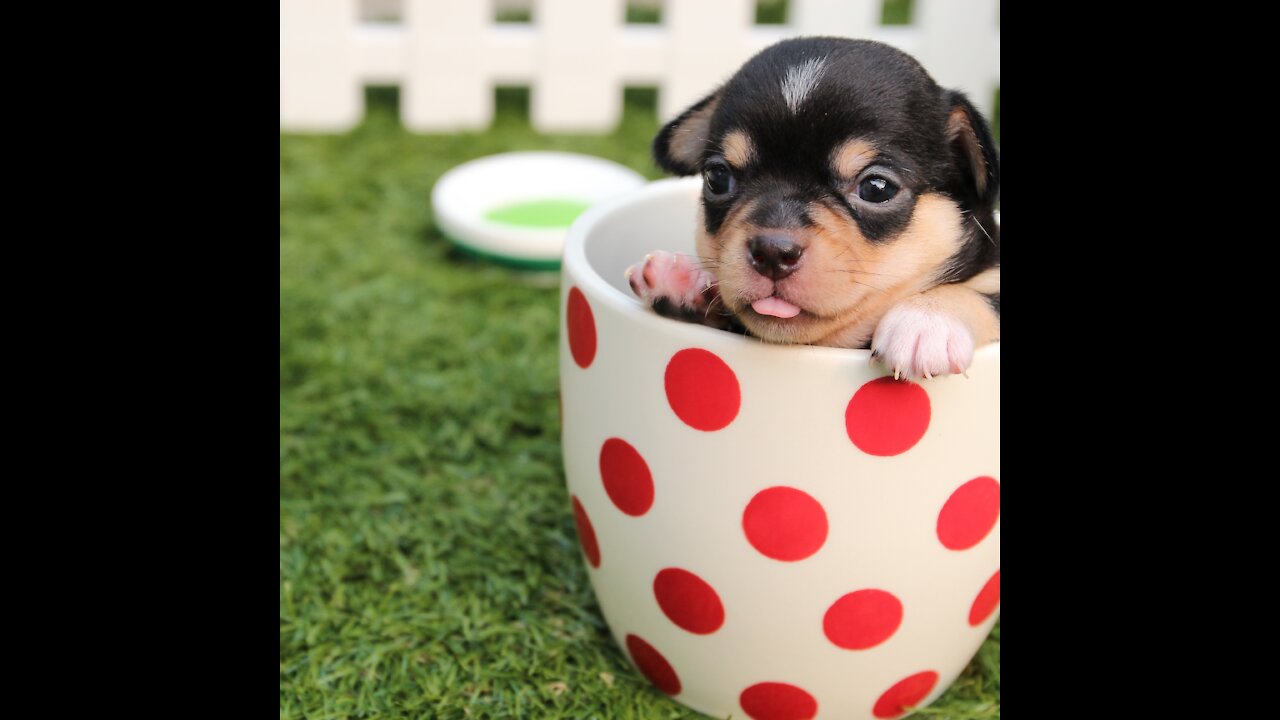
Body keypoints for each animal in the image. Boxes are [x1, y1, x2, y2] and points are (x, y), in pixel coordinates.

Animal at [622, 36, 998, 379]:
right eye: (717, 177)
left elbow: (981, 295)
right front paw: (682, 279)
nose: (773, 252)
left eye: (876, 188)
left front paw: (926, 320)